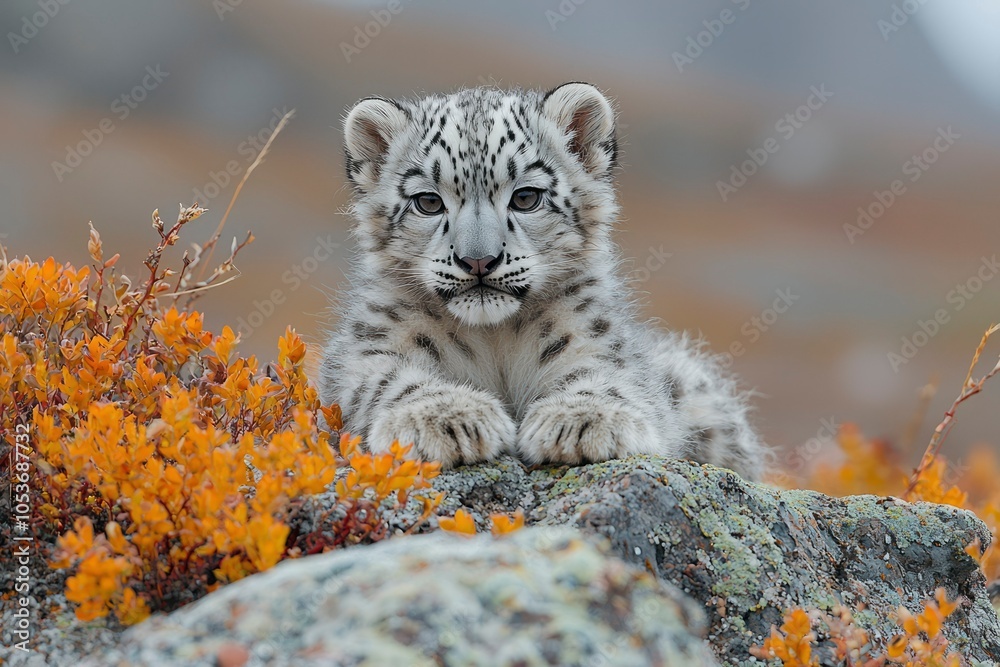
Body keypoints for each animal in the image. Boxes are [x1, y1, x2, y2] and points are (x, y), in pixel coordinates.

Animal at [318, 82, 767, 480]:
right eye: (428, 201)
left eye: (526, 197)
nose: (478, 260)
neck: (494, 340)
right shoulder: (369, 348)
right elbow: (387, 380)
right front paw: (448, 417)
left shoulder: (595, 338)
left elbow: (612, 378)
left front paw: (582, 420)